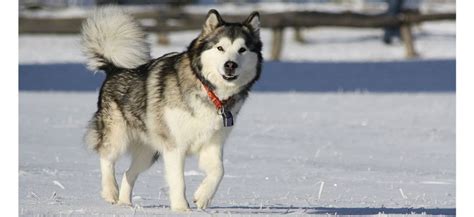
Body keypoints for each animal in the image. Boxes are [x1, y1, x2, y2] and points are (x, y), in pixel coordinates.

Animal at [80, 7, 260, 212]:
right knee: (106, 157)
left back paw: (125, 203)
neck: (209, 91)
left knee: (128, 173)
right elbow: (178, 181)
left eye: (242, 49)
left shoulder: (212, 143)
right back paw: (110, 191)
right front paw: (182, 208)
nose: (230, 65)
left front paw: (202, 197)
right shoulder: (175, 146)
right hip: (118, 134)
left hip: (149, 152)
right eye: (220, 48)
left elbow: (219, 171)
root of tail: (114, 69)